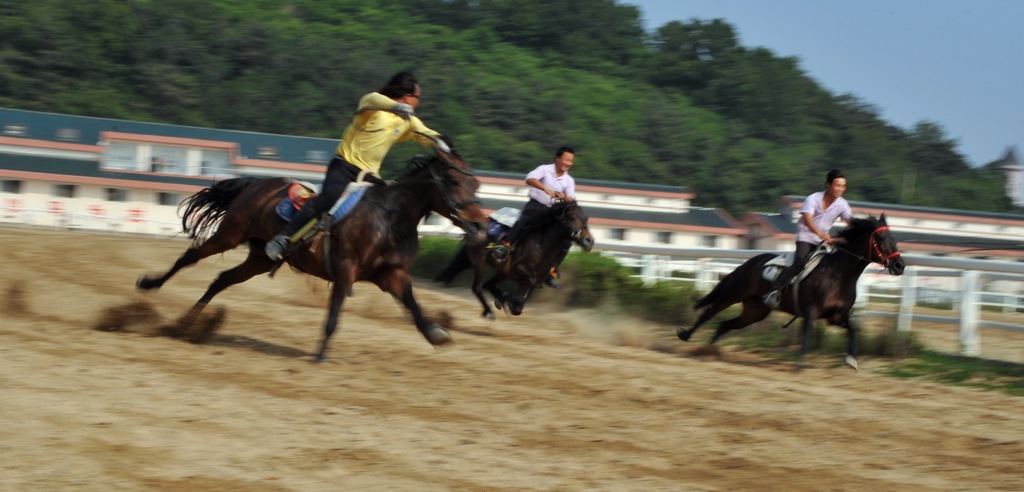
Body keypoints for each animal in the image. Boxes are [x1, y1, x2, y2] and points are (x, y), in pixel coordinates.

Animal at [137, 149, 487, 360]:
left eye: (475, 183)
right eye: (453, 180)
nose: (480, 224)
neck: (390, 218)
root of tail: (256, 183)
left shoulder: (391, 274)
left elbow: (413, 305)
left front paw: (435, 334)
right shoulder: (345, 269)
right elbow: (334, 314)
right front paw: (320, 355)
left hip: (260, 257)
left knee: (221, 279)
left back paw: (188, 324)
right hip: (230, 234)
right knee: (189, 257)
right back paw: (150, 285)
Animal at [436, 201, 598, 317]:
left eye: (586, 219)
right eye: (572, 217)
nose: (589, 241)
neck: (541, 248)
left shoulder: (529, 280)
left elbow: (521, 302)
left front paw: (511, 301)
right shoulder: (518, 271)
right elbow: (527, 285)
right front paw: (512, 301)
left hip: (500, 272)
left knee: (487, 284)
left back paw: (501, 298)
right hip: (480, 262)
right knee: (478, 287)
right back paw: (489, 311)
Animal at [679, 215, 905, 369]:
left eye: (894, 237)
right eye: (881, 237)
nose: (899, 265)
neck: (838, 274)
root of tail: (749, 263)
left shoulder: (836, 316)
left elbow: (854, 330)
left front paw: (851, 360)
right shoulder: (812, 312)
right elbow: (806, 337)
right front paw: (799, 365)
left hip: (755, 310)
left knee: (725, 324)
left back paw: (709, 350)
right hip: (732, 293)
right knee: (708, 313)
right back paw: (686, 335)